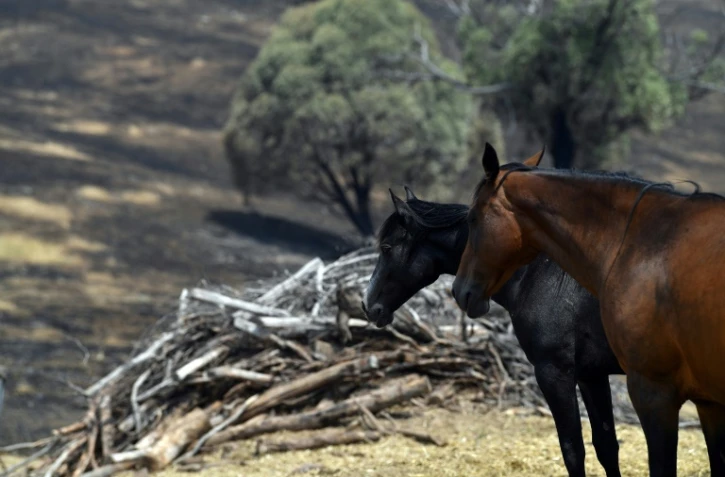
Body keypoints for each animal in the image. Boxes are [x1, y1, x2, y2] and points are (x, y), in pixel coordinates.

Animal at [363, 185, 623, 476]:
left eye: (386, 247)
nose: (368, 305)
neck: (540, 275)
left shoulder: (554, 373)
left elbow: (573, 451)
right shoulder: (592, 375)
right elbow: (606, 447)